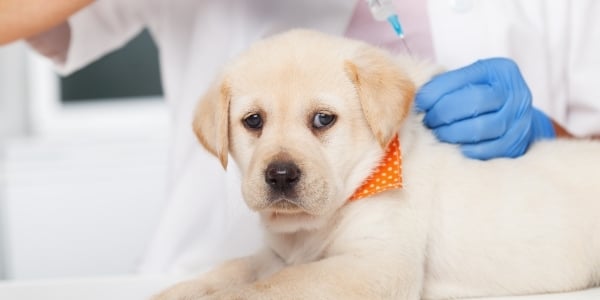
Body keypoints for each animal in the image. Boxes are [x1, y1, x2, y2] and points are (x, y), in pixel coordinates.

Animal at [155, 28, 600, 300]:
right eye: (253, 122)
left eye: (323, 119)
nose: (280, 175)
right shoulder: (279, 255)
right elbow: (237, 266)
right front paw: (182, 290)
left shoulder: (376, 266)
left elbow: (274, 285)